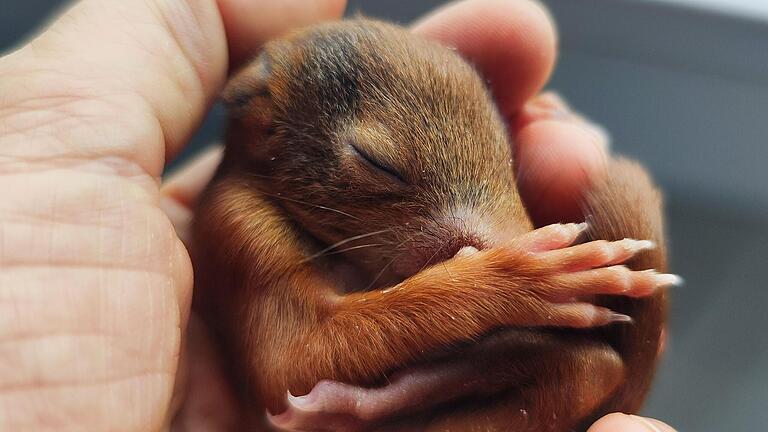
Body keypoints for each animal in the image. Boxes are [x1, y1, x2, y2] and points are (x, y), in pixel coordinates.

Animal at [192, 18, 672, 430]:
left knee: (587, 371)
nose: (499, 243)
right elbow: (292, 362)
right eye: (376, 162)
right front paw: (522, 276)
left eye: (507, 156)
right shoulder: (240, 231)